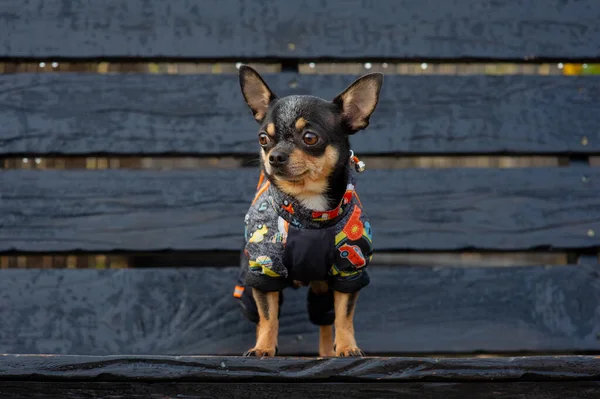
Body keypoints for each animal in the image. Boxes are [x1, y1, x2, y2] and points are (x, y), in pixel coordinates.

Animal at [232, 65, 382, 360]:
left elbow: (344, 316)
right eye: (263, 138)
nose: (274, 156)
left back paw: (326, 353)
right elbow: (269, 317)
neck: (308, 210)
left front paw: (347, 347)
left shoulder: (348, 271)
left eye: (310, 138)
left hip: (322, 288)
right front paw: (263, 348)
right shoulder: (264, 271)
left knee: (325, 320)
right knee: (262, 314)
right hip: (250, 282)